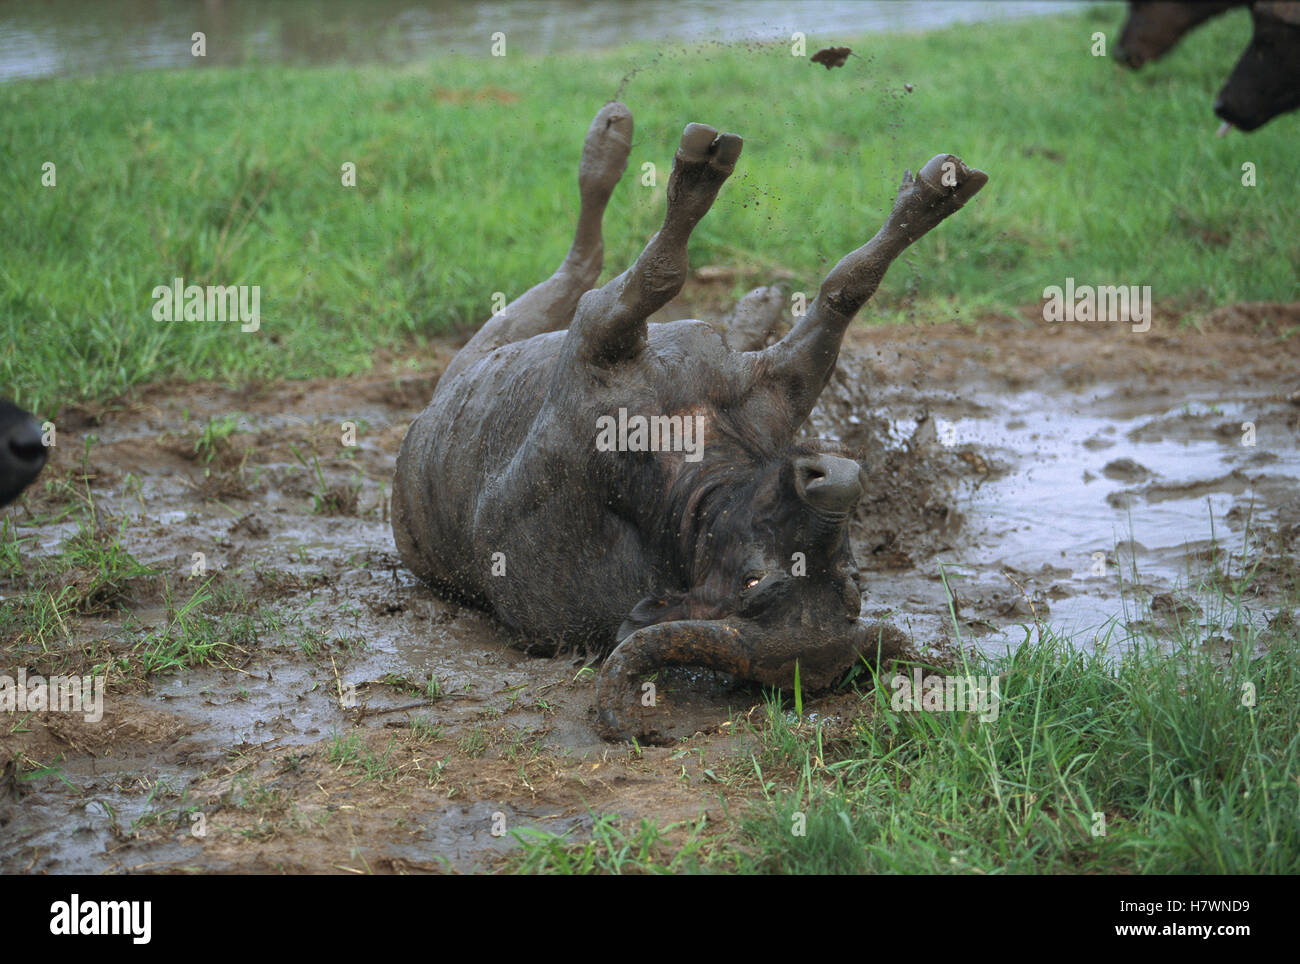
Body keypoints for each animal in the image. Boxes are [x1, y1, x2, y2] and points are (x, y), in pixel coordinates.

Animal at [392, 102, 987, 742]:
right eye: (755, 582)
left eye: (848, 583)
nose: (834, 485)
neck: (673, 471)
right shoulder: (685, 355)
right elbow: (811, 280)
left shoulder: (673, 349)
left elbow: (809, 282)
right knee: (588, 256)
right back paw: (617, 150)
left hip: (493, 342)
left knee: (584, 264)